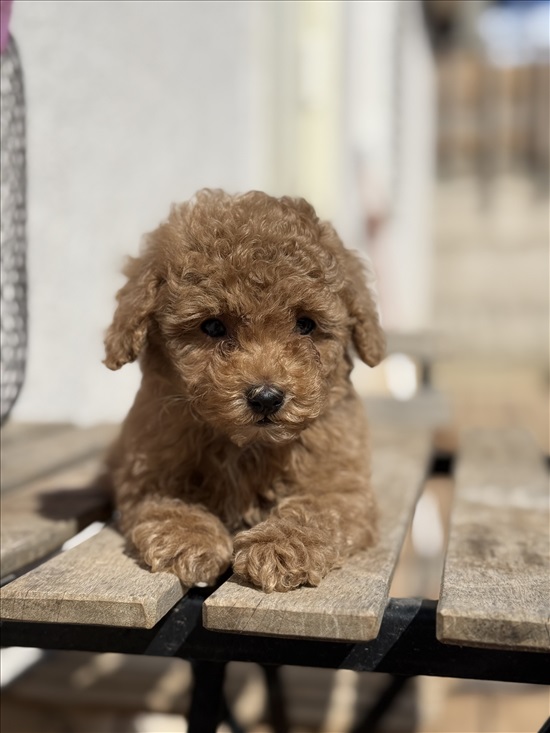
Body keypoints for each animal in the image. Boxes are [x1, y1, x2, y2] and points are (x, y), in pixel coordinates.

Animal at [105, 187, 386, 588]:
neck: (246, 445)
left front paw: (282, 545)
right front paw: (187, 537)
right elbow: (165, 502)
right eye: (212, 326)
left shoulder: (341, 484)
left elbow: (318, 508)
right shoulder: (147, 470)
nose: (266, 398)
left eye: (305, 324)